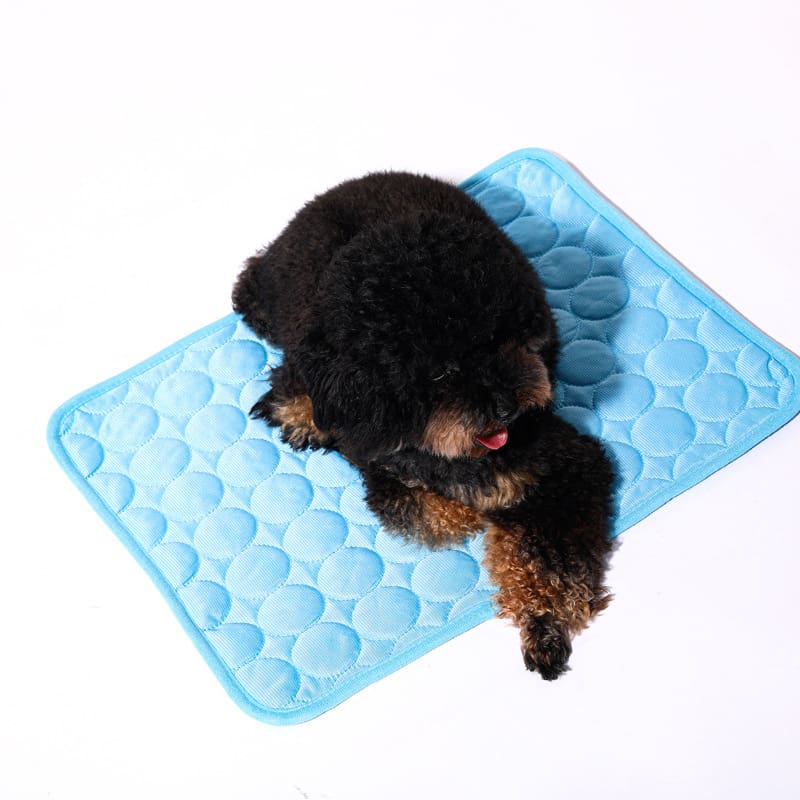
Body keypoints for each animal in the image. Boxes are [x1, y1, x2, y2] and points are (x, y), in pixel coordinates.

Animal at [231, 172, 612, 680]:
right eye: (439, 372)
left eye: (501, 337)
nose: (506, 406)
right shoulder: (378, 457)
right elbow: (431, 508)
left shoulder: (567, 466)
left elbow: (548, 558)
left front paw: (544, 623)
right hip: (290, 307)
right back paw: (300, 412)